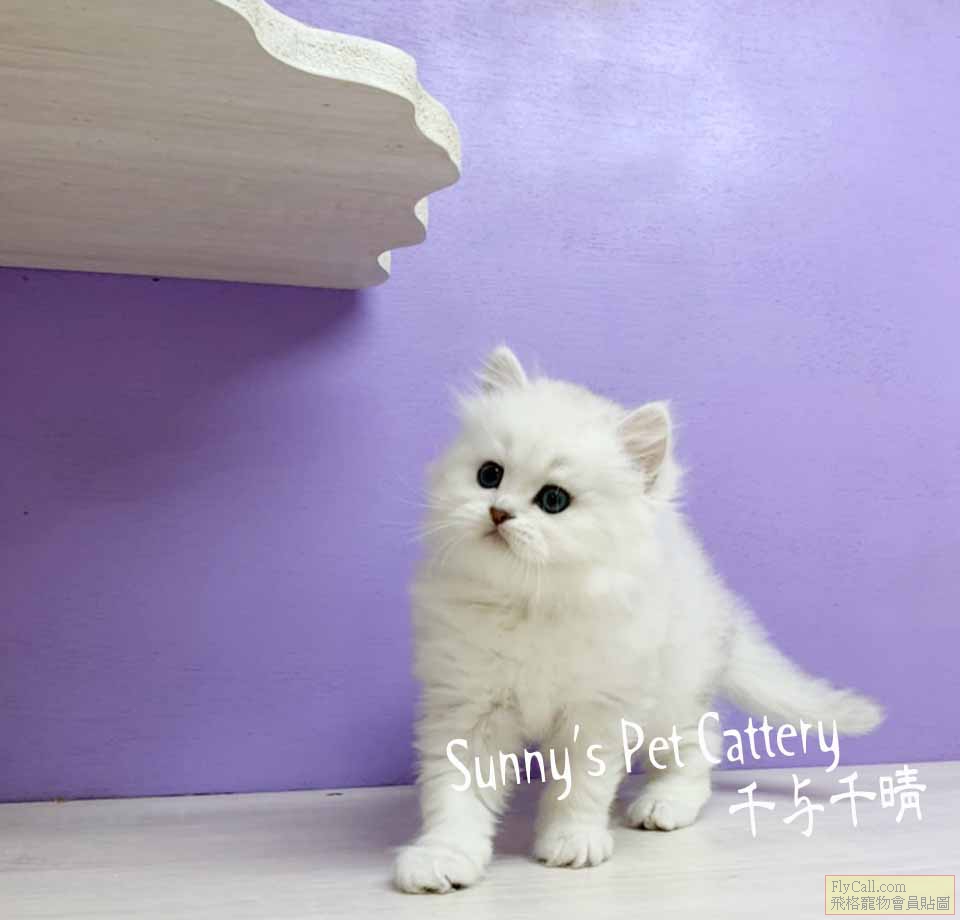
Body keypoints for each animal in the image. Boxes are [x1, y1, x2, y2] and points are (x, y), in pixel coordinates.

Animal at [394, 345, 883, 894]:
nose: (498, 513)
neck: (532, 605)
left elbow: (581, 788)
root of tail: (720, 602)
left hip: (668, 697)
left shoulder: (599, 709)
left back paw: (666, 803)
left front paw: (572, 841)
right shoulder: (468, 706)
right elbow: (456, 796)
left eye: (553, 500)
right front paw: (443, 856)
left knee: (701, 740)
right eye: (489, 475)